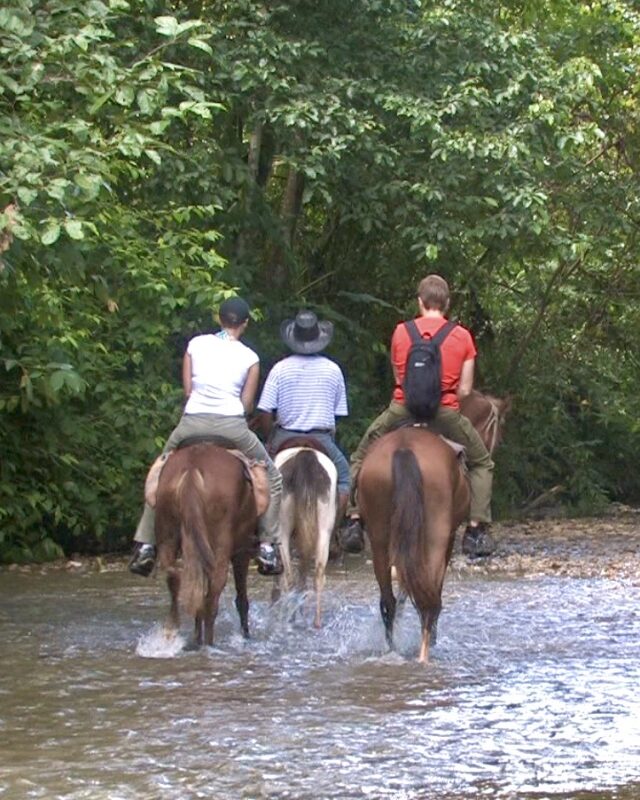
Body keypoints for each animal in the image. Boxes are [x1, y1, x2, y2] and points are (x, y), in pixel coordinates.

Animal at [154, 444, 258, 648]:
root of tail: (192, 468)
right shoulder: (242, 552)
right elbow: (242, 598)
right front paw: (245, 634)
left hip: (169, 535)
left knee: (176, 578)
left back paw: (175, 632)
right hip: (220, 543)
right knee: (214, 589)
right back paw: (208, 643)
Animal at [272, 440, 338, 628]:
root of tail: (305, 456)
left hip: (282, 531)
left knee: (288, 575)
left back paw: (288, 617)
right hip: (324, 530)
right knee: (318, 573)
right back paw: (316, 621)